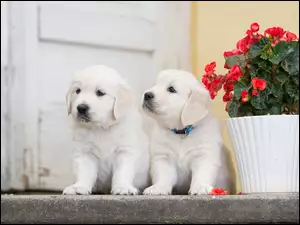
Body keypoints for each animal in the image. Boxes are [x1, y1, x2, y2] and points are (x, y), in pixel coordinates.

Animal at [62, 64, 149, 195]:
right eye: (77, 91)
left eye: (100, 93)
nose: (81, 108)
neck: (101, 128)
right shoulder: (84, 151)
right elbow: (84, 171)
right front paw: (79, 187)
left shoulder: (125, 151)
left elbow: (122, 172)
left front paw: (122, 187)